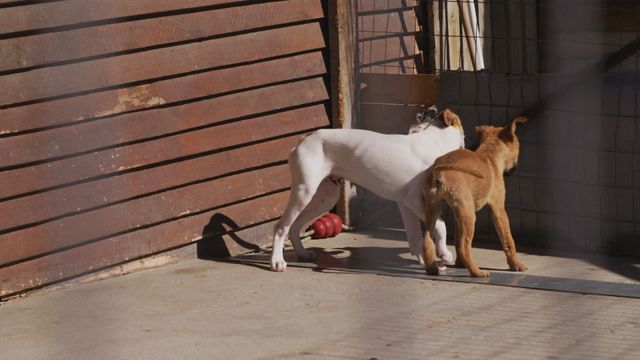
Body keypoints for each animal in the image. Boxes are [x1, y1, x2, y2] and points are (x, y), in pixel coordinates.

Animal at [270, 108, 464, 272]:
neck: (433, 142)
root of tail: (305, 138)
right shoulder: (415, 201)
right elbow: (440, 225)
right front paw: (445, 255)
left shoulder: (405, 204)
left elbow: (415, 237)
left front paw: (426, 262)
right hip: (304, 192)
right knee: (281, 227)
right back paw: (277, 261)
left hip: (324, 198)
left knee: (294, 225)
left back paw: (302, 253)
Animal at [422, 116, 528, 278]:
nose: (514, 169)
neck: (489, 155)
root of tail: (439, 170)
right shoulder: (499, 210)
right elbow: (508, 239)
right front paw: (515, 265)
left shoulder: (457, 215)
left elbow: (457, 240)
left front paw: (460, 264)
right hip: (469, 215)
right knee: (465, 247)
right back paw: (477, 272)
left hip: (435, 209)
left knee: (428, 241)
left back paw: (432, 269)